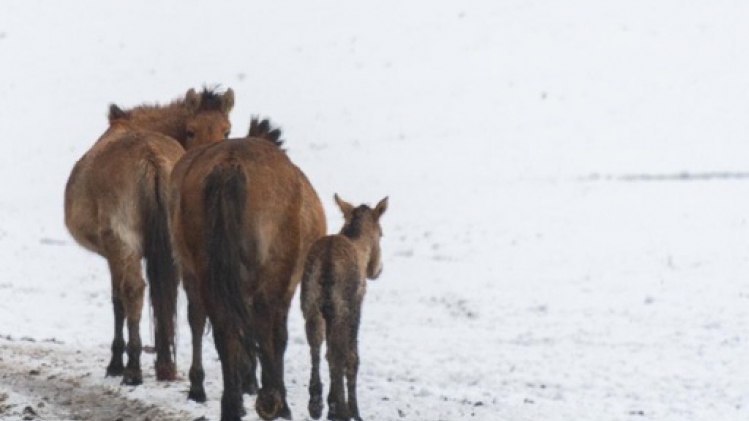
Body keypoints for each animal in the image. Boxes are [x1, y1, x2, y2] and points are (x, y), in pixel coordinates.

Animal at [64, 87, 235, 386]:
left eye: (227, 131)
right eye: (191, 130)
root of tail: (150, 158)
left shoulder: (113, 252)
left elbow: (118, 300)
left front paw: (116, 362)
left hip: (124, 243)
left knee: (134, 291)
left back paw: (132, 368)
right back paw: (167, 366)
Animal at [169, 118, 326, 421]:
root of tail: (229, 167)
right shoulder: (286, 284)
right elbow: (277, 335)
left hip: (205, 270)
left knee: (219, 326)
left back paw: (227, 401)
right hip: (271, 271)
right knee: (264, 327)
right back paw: (271, 401)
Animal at [301, 194, 388, 421]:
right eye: (381, 233)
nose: (377, 270)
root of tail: (326, 264)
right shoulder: (356, 306)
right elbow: (352, 356)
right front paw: (353, 410)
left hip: (310, 304)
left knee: (316, 343)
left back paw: (316, 403)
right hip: (341, 308)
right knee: (337, 353)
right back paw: (338, 408)